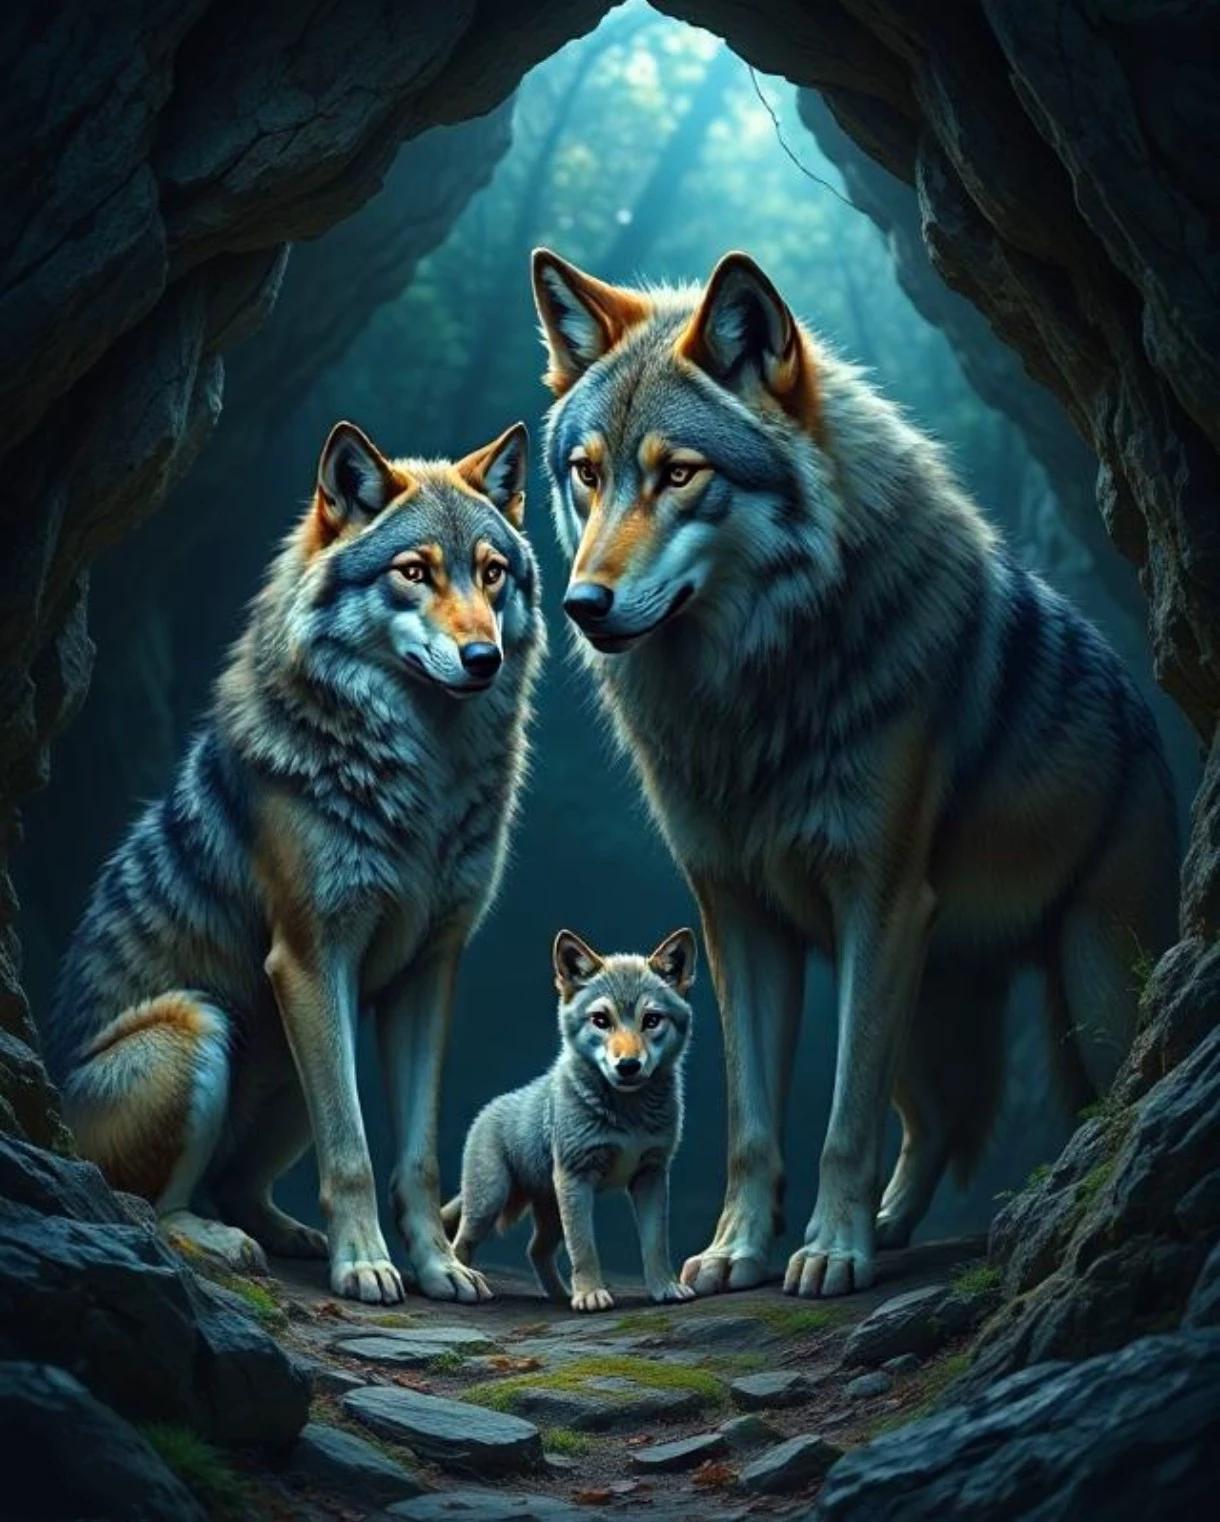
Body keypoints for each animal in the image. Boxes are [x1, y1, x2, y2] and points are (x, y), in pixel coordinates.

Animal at [47, 418, 544, 1304]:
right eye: (414, 572)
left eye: (492, 573)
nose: (482, 658)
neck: (427, 774)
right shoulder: (311, 958)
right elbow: (351, 1151)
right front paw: (369, 1266)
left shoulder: (429, 969)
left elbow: (415, 1155)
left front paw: (437, 1267)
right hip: (202, 1023)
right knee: (151, 1205)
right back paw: (225, 1242)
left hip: (285, 1057)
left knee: (237, 1185)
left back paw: (285, 1234)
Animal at [442, 928, 697, 1311]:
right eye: (601, 1020)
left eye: (651, 1020)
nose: (628, 1066)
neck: (628, 1115)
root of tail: (488, 1110)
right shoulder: (578, 1179)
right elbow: (585, 1248)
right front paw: (591, 1295)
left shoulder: (651, 1175)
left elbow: (655, 1244)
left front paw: (665, 1289)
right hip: (490, 1203)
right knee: (461, 1243)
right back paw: (468, 1285)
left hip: (550, 1209)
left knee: (535, 1250)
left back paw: (560, 1296)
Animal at [529, 246, 1178, 1300]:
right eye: (588, 474)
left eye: (679, 475)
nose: (584, 604)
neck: (750, 693)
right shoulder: (737, 916)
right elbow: (754, 1121)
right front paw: (739, 1251)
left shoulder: (878, 902)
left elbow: (842, 1122)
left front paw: (830, 1252)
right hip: (928, 1000)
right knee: (940, 1121)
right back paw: (895, 1226)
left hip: (1086, 990)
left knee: (1062, 1089)